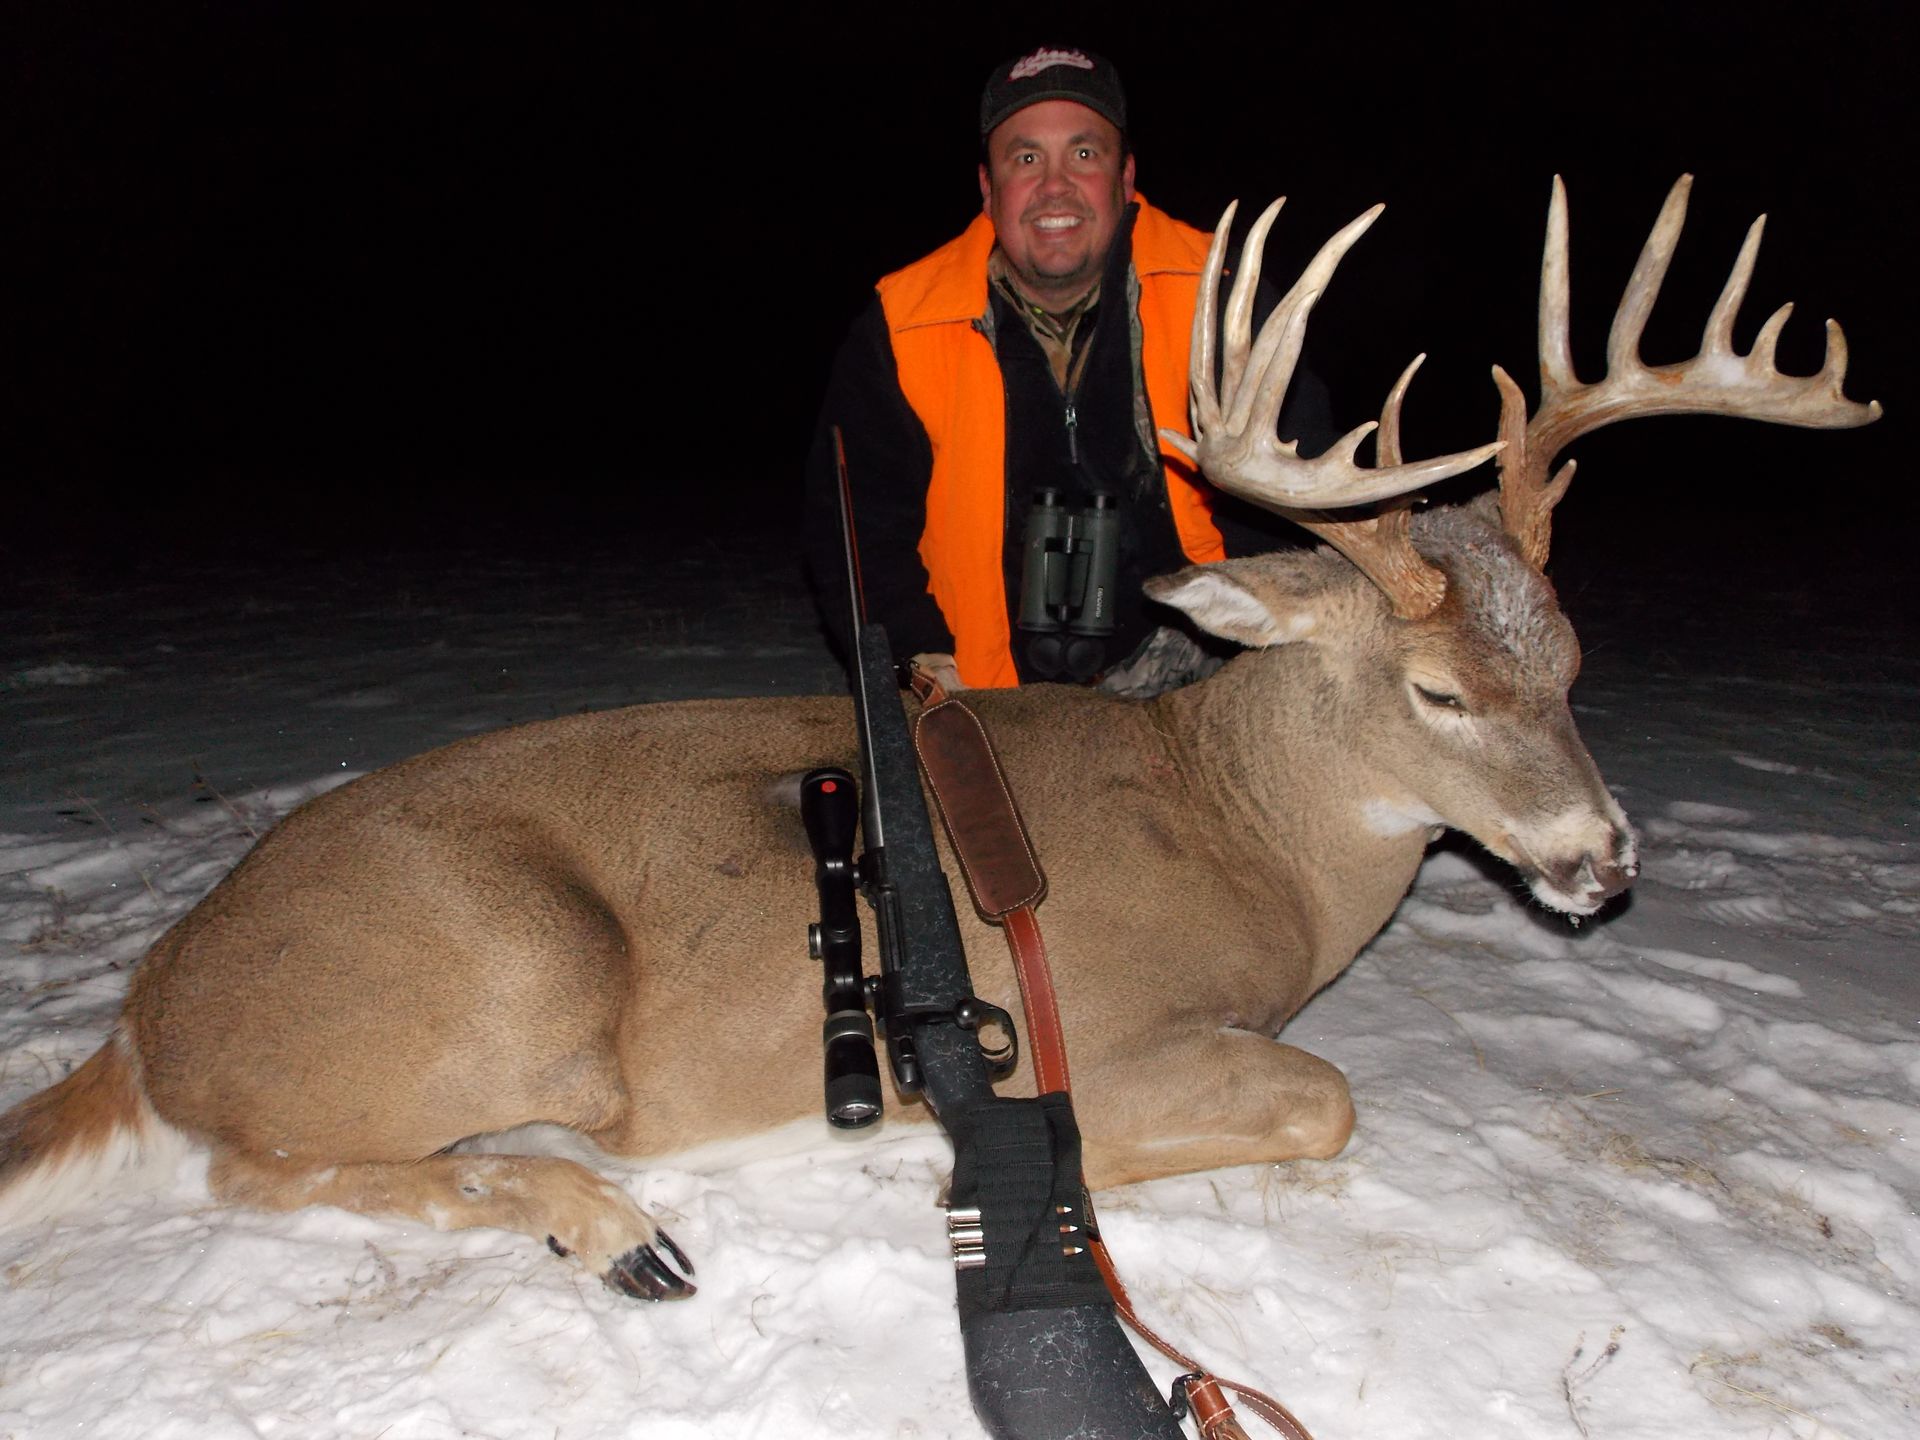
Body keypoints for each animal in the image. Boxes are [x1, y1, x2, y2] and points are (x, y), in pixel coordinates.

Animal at [0, 177, 1880, 1304]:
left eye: (1573, 660)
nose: (1602, 861)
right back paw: (608, 1221)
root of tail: (151, 1013)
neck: (1245, 831)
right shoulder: (1103, 1028)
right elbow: (1321, 1099)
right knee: (251, 1166)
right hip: (510, 966)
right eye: (1436, 694)